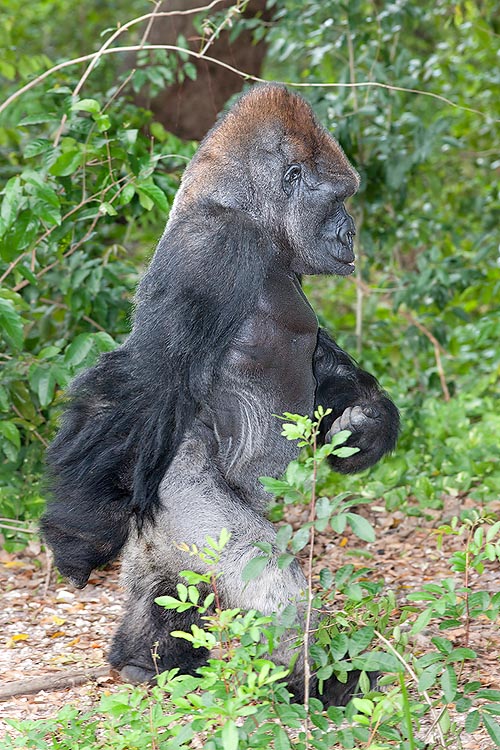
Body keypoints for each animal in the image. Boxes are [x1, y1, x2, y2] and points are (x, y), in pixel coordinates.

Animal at [41, 84, 399, 705]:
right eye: (338, 199)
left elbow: (322, 364)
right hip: (176, 489)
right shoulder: (214, 248)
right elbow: (143, 380)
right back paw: (315, 683)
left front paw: (367, 424)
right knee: (268, 579)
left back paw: (144, 661)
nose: (350, 232)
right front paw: (76, 538)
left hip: (158, 521)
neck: (242, 212)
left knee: (169, 578)